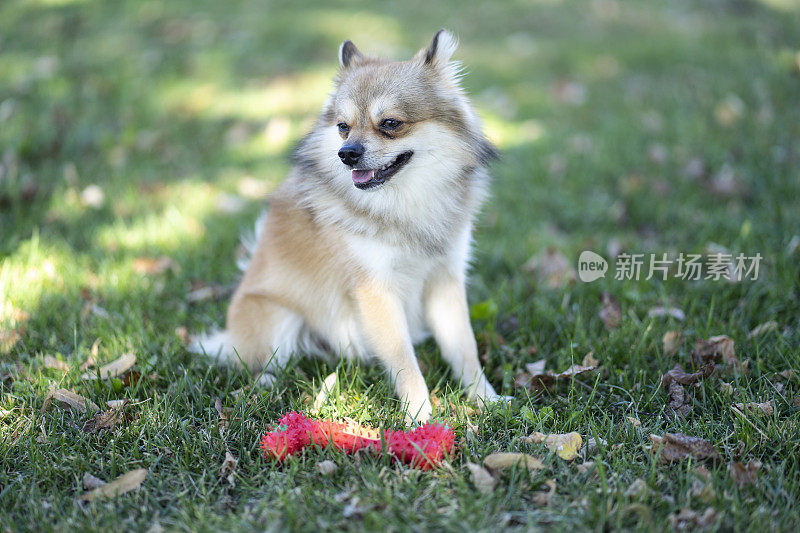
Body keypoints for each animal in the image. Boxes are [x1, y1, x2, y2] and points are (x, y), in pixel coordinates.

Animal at [194, 29, 504, 422]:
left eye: (390, 124)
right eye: (343, 128)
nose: (347, 154)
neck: (404, 202)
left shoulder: (445, 279)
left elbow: (464, 347)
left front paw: (486, 399)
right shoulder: (375, 288)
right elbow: (403, 358)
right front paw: (418, 416)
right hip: (276, 319)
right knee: (257, 362)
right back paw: (265, 386)